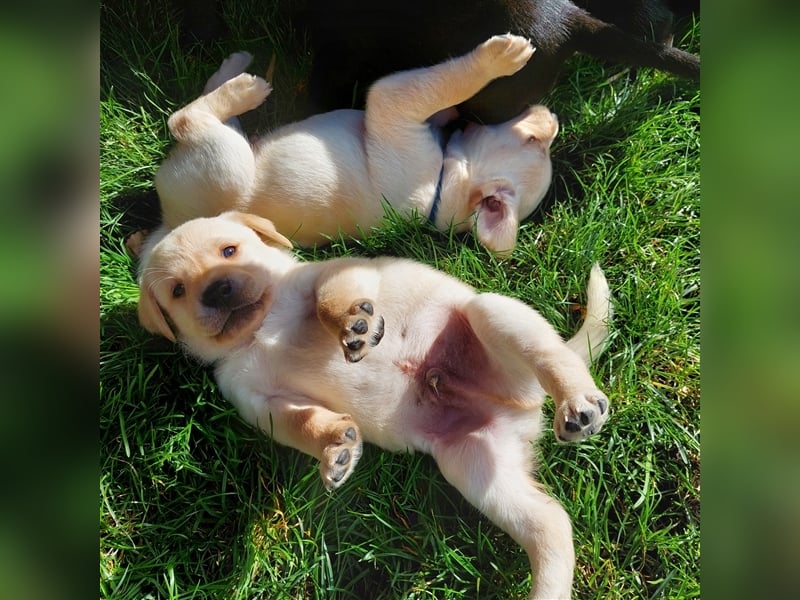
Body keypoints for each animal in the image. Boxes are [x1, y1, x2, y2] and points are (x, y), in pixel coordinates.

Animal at [136, 212, 612, 600]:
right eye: (178, 290)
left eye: (229, 251)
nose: (217, 289)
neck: (259, 329)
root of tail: (524, 406)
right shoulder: (261, 403)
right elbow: (304, 424)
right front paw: (337, 448)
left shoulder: (333, 273)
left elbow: (329, 299)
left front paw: (354, 324)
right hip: (479, 468)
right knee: (552, 526)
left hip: (492, 316)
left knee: (552, 357)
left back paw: (578, 404)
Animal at [155, 34, 556, 255]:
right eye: (536, 140)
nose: (552, 119)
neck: (443, 187)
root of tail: (169, 219)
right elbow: (445, 92)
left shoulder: (395, 99)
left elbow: (448, 80)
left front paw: (498, 60)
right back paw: (235, 70)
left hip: (226, 162)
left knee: (185, 119)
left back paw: (243, 87)